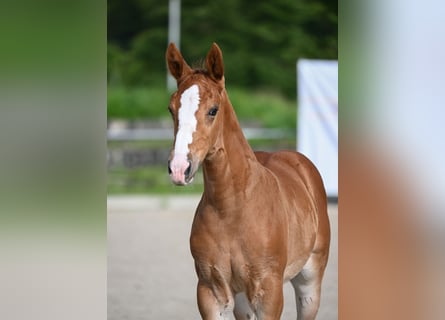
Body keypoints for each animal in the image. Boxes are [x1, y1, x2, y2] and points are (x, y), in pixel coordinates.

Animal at [165, 43, 328, 320]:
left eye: (213, 110)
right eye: (171, 109)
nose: (179, 168)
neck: (231, 210)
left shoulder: (269, 293)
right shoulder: (210, 291)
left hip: (309, 282)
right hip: (242, 301)